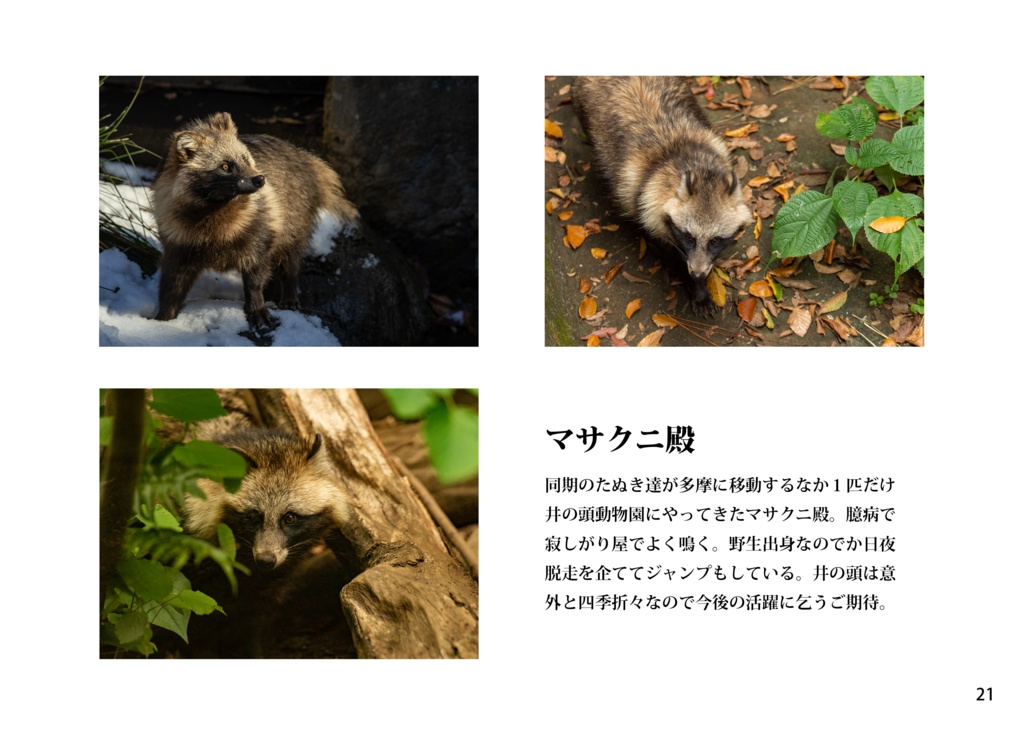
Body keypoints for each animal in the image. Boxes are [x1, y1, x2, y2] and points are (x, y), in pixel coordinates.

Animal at [151, 112, 359, 332]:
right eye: (225, 166)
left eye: (245, 158)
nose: (260, 179)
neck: (214, 208)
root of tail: (306, 158)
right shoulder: (177, 236)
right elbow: (173, 280)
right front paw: (165, 315)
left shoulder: (260, 225)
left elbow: (256, 271)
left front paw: (256, 305)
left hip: (296, 215)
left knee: (291, 256)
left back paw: (290, 291)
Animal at [572, 76, 753, 316]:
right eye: (689, 237)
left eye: (715, 240)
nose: (697, 274)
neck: (688, 158)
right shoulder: (643, 204)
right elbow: (670, 252)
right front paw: (696, 288)